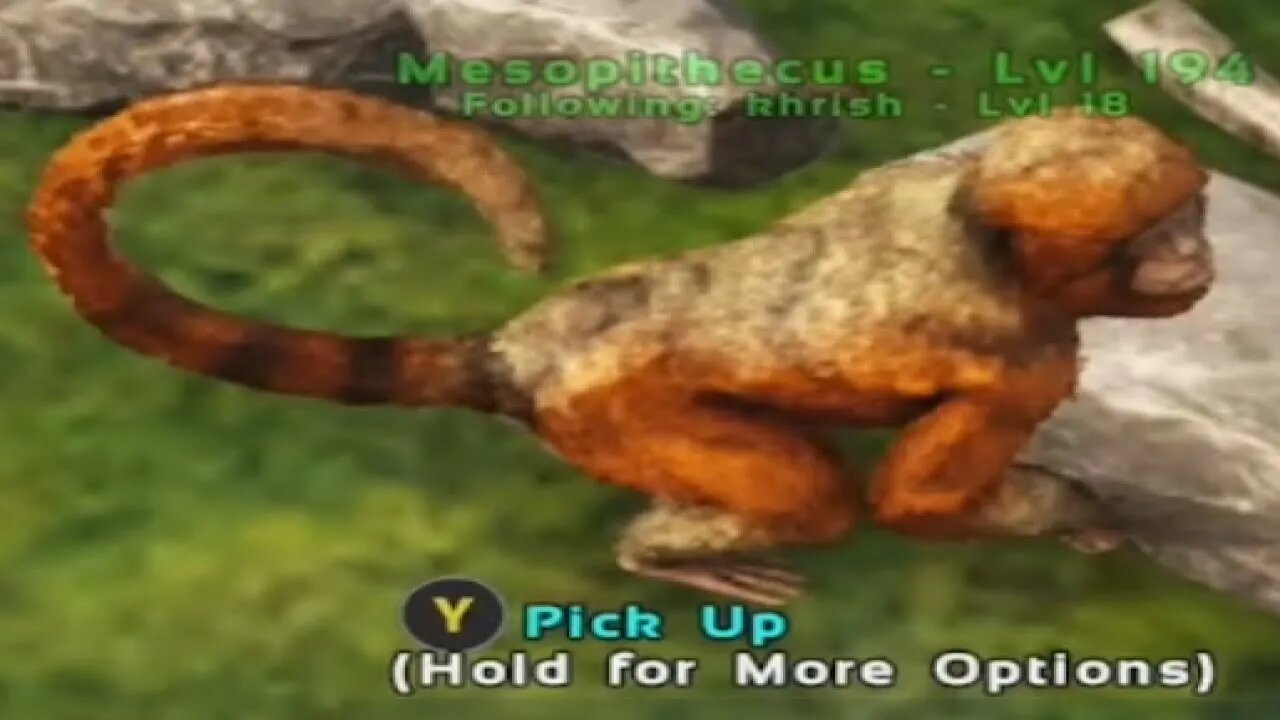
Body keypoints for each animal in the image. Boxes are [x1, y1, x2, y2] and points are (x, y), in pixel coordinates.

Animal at [26, 84, 1214, 606]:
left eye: (1193, 213)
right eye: (1152, 235)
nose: (1194, 255)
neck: (976, 222)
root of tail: (530, 348)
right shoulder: (1019, 354)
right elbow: (912, 505)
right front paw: (1083, 516)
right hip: (611, 410)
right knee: (811, 497)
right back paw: (661, 553)